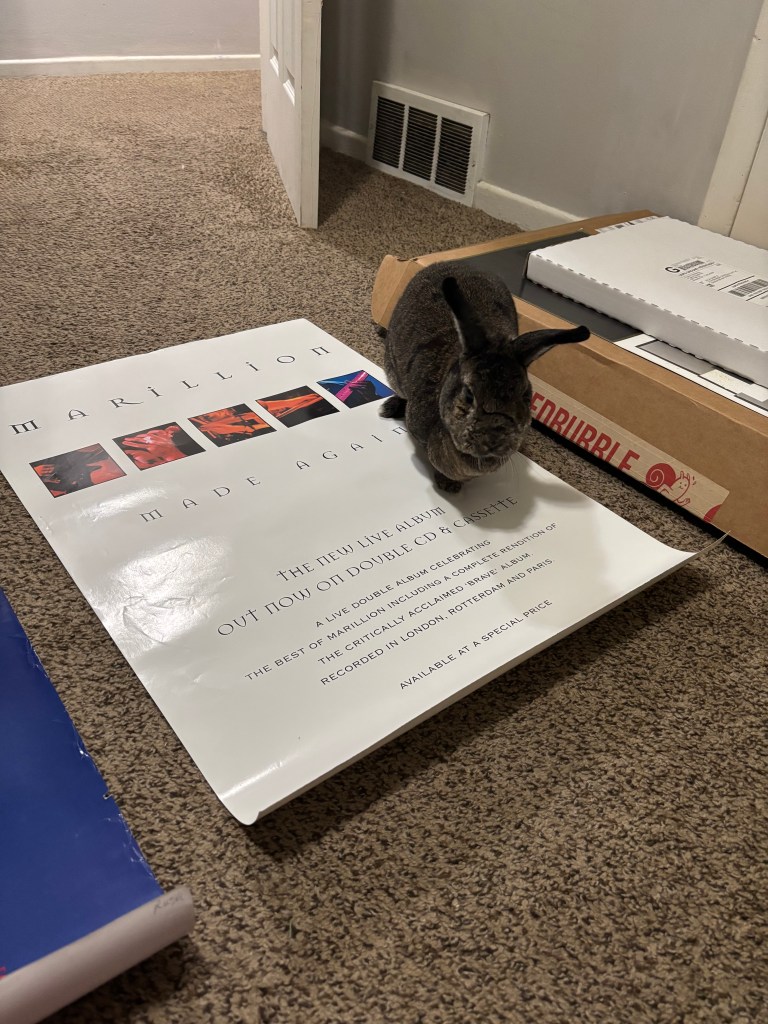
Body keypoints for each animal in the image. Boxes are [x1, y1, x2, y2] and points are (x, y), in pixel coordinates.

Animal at [379, 261, 590, 492]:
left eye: (526, 397)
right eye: (469, 395)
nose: (494, 440)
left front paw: (451, 485)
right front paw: (447, 485)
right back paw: (388, 408)